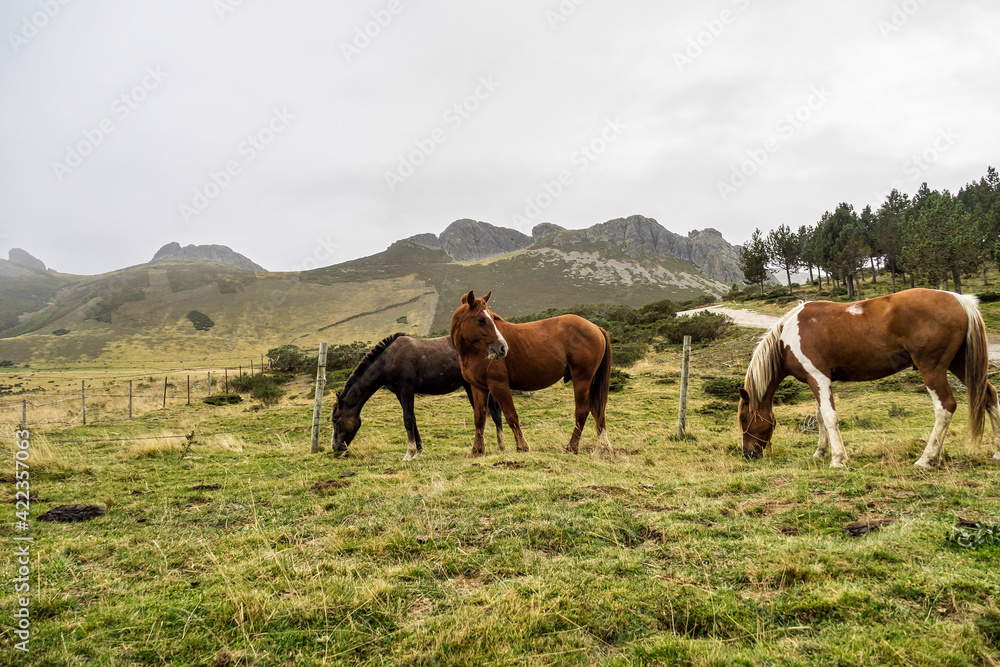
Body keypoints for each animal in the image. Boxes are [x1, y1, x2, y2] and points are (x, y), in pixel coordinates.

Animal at [330, 333, 502, 460]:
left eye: (335, 419)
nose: (335, 447)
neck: (389, 359)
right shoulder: (399, 393)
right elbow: (412, 420)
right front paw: (418, 451)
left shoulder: (406, 389)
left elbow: (407, 420)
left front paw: (409, 453)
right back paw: (495, 447)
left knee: (490, 412)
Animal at [449, 290, 613, 456]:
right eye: (481, 319)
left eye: (492, 318)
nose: (503, 348)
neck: (474, 351)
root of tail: (595, 327)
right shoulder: (478, 387)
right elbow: (479, 418)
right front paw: (476, 451)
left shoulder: (498, 385)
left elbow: (511, 415)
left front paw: (522, 447)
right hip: (591, 381)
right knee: (598, 410)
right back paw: (603, 447)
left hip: (582, 379)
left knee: (582, 411)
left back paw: (572, 447)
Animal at [738, 289, 1000, 468]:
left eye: (743, 418)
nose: (748, 453)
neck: (788, 337)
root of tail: (960, 299)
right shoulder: (816, 381)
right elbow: (820, 417)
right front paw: (820, 453)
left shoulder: (819, 378)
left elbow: (829, 417)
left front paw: (838, 459)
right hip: (961, 364)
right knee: (989, 396)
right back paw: (996, 453)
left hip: (932, 369)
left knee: (945, 407)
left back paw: (926, 459)